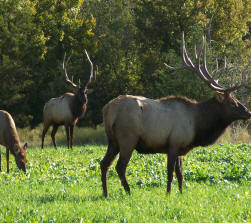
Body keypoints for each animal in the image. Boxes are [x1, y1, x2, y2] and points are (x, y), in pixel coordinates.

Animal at [100, 33, 251, 197]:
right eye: (233, 103)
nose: (248, 112)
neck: (197, 124)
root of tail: (107, 110)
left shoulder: (179, 147)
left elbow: (180, 174)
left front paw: (181, 192)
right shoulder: (173, 143)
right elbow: (170, 173)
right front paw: (168, 194)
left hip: (112, 140)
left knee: (104, 163)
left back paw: (105, 193)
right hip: (128, 138)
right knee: (120, 166)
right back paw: (128, 192)